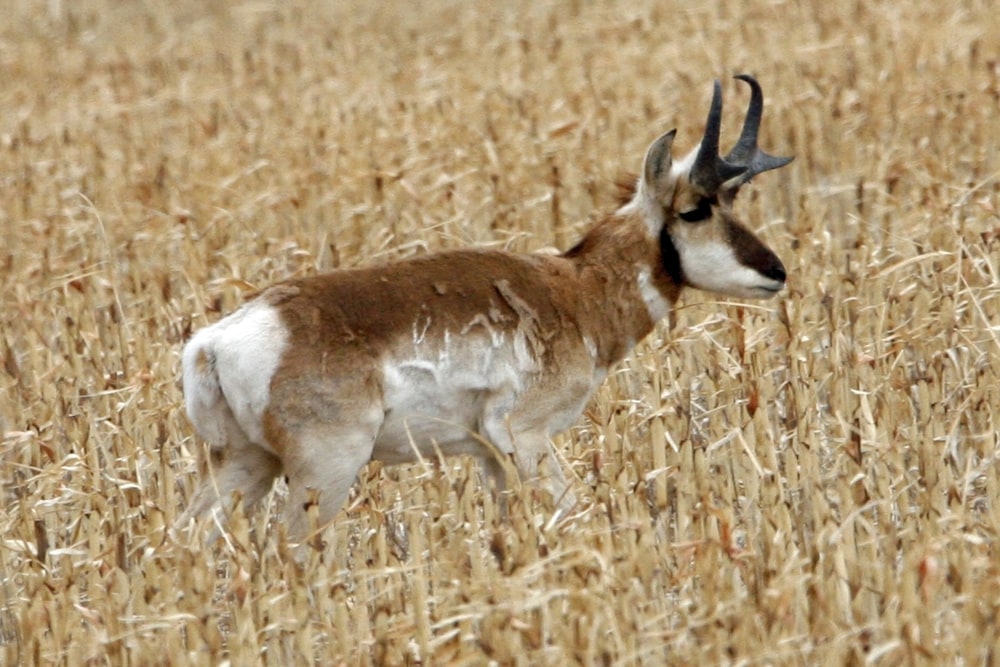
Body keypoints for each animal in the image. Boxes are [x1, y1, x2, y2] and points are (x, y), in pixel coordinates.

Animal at [178, 75, 788, 544]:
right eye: (693, 210)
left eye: (732, 200)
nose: (777, 273)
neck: (574, 291)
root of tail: (220, 340)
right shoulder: (524, 436)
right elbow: (569, 512)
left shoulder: (492, 456)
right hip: (323, 472)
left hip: (244, 465)